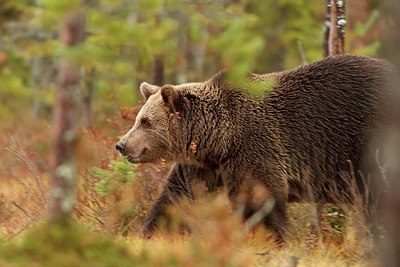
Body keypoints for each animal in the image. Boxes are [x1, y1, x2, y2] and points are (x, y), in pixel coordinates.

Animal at [115, 55, 390, 243]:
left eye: (145, 122)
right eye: (138, 119)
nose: (121, 144)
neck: (220, 138)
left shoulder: (256, 148)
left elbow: (260, 201)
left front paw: (272, 240)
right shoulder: (204, 165)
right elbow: (176, 199)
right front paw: (149, 234)